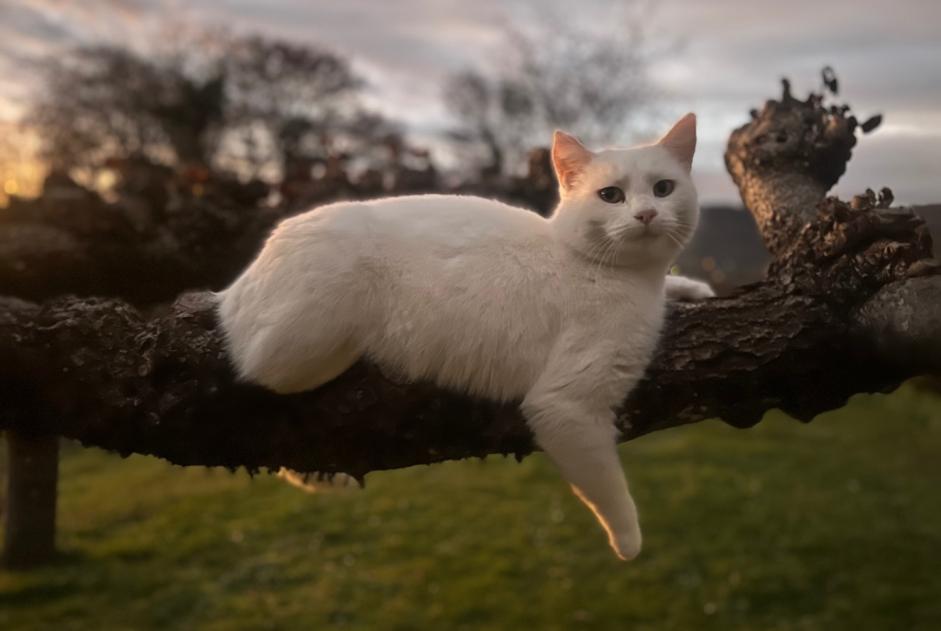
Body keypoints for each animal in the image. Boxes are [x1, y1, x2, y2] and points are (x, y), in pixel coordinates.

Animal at [215, 112, 712, 556]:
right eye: (610, 195)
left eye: (663, 188)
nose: (646, 214)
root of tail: (234, 286)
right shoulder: (566, 408)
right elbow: (610, 493)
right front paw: (629, 543)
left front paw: (691, 288)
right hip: (309, 338)